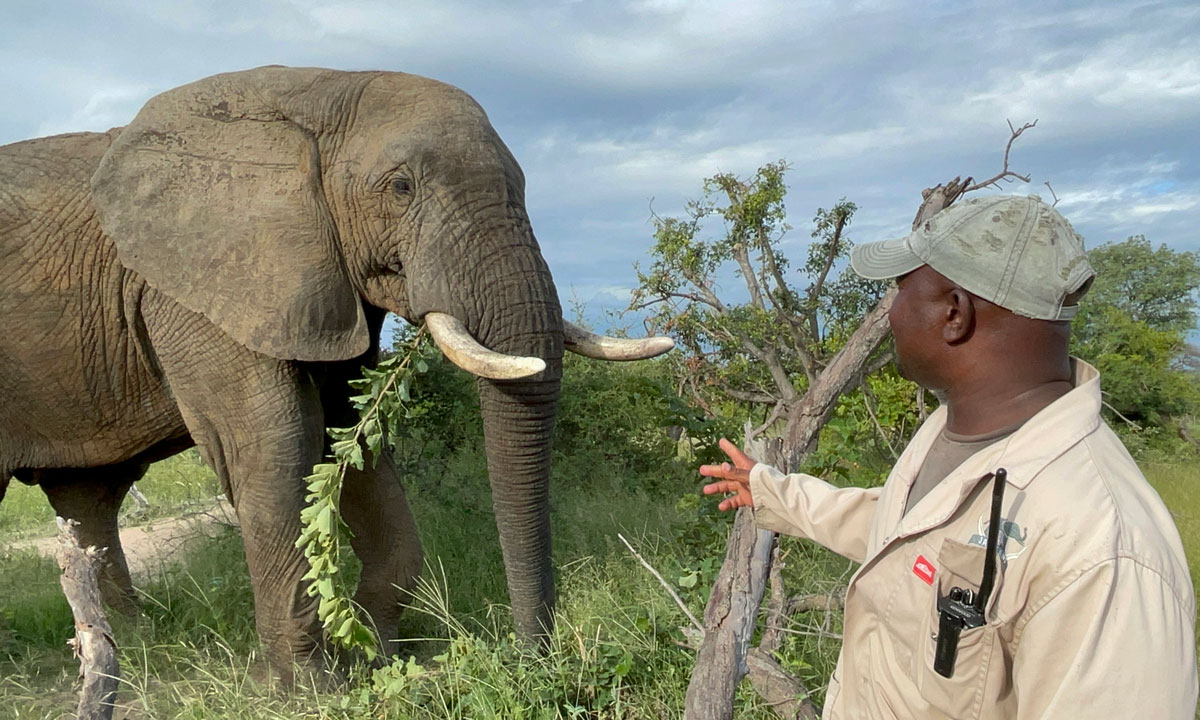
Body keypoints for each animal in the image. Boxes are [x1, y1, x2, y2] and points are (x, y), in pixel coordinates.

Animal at [0, 66, 672, 679]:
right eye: (400, 187)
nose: (534, 660)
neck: (310, 92)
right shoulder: (191, 288)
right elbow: (276, 445)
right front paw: (310, 690)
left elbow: (347, 435)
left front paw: (379, 657)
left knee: (90, 503)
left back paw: (133, 653)